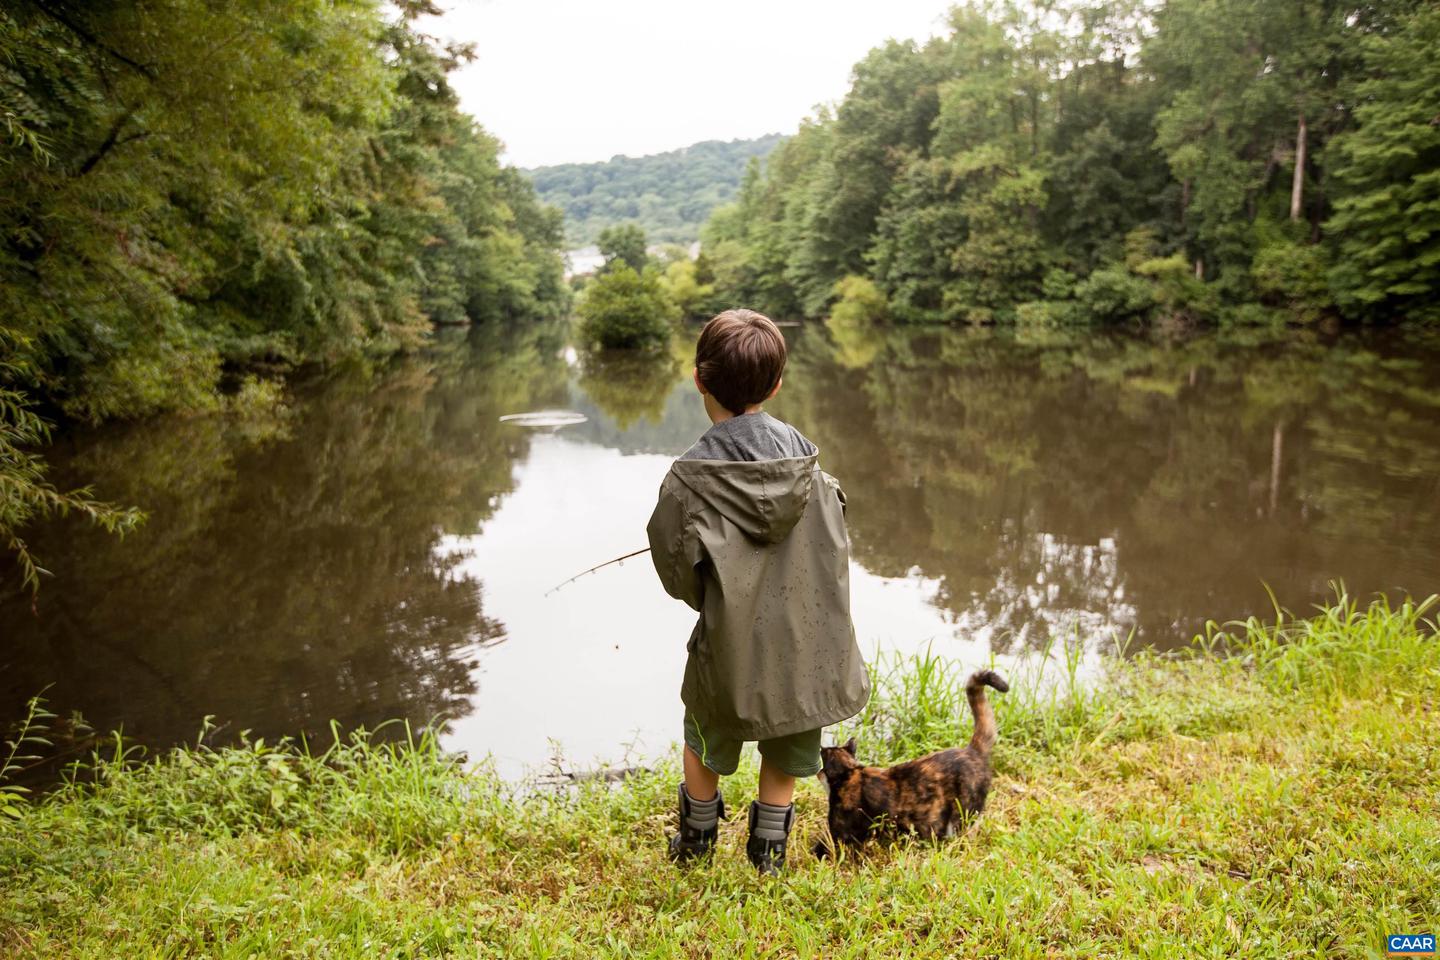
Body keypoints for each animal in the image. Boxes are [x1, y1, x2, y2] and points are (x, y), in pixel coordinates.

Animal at [817, 667, 1008, 857]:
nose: (818, 772)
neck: (851, 773)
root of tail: (972, 750)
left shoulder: (839, 828)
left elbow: (825, 846)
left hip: (962, 814)